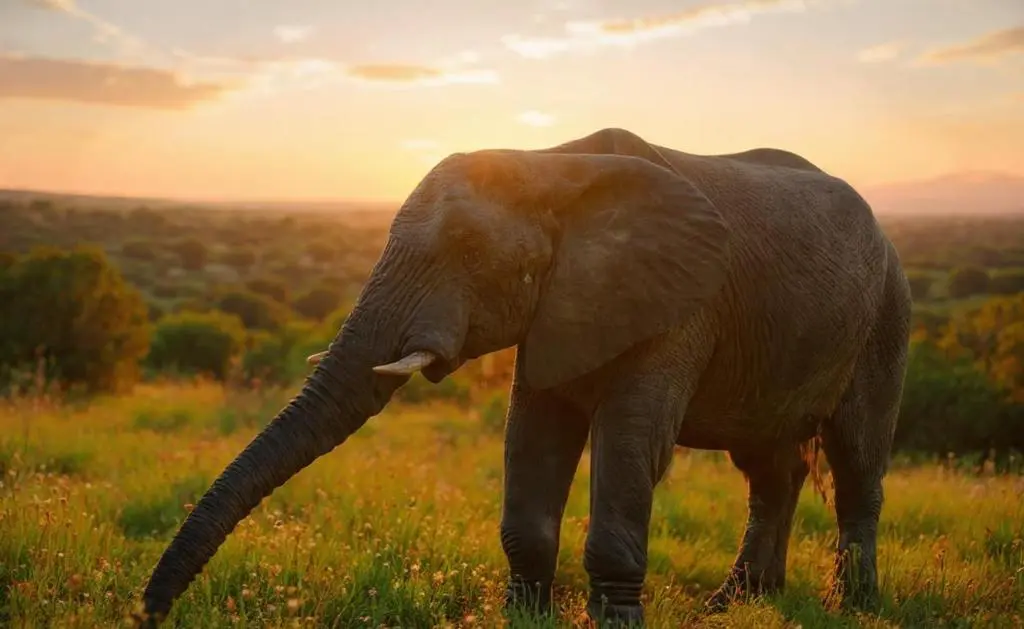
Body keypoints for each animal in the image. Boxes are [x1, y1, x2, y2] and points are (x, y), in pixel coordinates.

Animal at [136, 127, 912, 627]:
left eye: (467, 248)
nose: (147, 612)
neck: (554, 168)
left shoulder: (681, 304)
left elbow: (632, 441)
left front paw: (616, 624)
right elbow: (531, 437)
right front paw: (525, 617)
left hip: (886, 313)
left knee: (855, 462)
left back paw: (854, 607)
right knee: (769, 468)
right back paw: (739, 604)